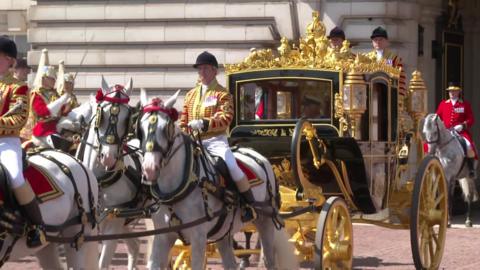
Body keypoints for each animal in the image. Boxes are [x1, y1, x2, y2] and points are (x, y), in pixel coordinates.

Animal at [57, 77, 142, 268]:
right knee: (134, 247)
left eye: (127, 118)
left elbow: (101, 263)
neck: (100, 181)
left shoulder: (113, 225)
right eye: (101, 114)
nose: (108, 158)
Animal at [138, 90, 296, 270]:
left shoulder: (198, 238)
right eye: (140, 129)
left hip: (266, 222)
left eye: (167, 128)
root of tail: (258, 156)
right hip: (224, 232)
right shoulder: (162, 237)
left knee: (269, 260)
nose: (150, 168)